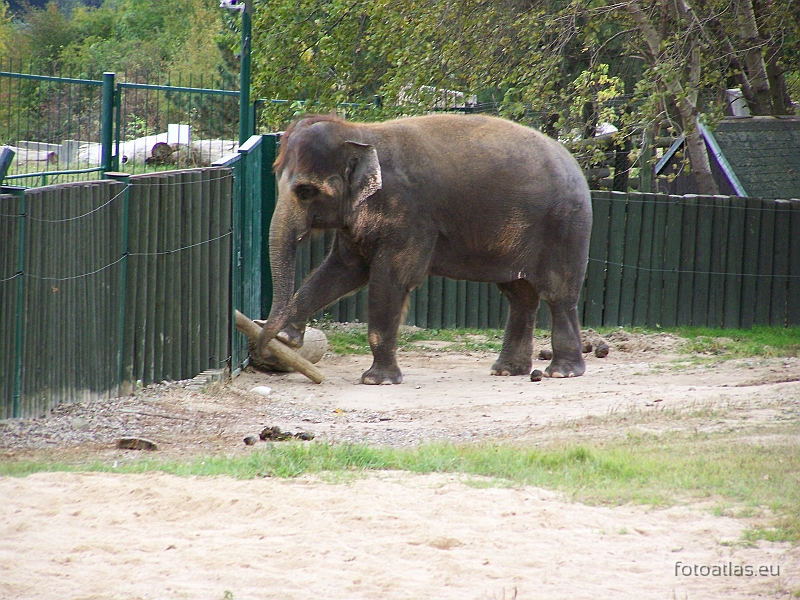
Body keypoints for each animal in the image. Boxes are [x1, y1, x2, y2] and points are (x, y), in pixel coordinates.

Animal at [256, 112, 592, 384]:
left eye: (306, 191)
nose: (260, 348)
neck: (362, 133)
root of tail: (575, 164)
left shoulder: (410, 214)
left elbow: (390, 279)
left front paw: (377, 380)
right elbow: (342, 271)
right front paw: (287, 339)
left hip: (565, 225)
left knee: (558, 292)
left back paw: (562, 372)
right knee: (519, 295)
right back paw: (507, 371)